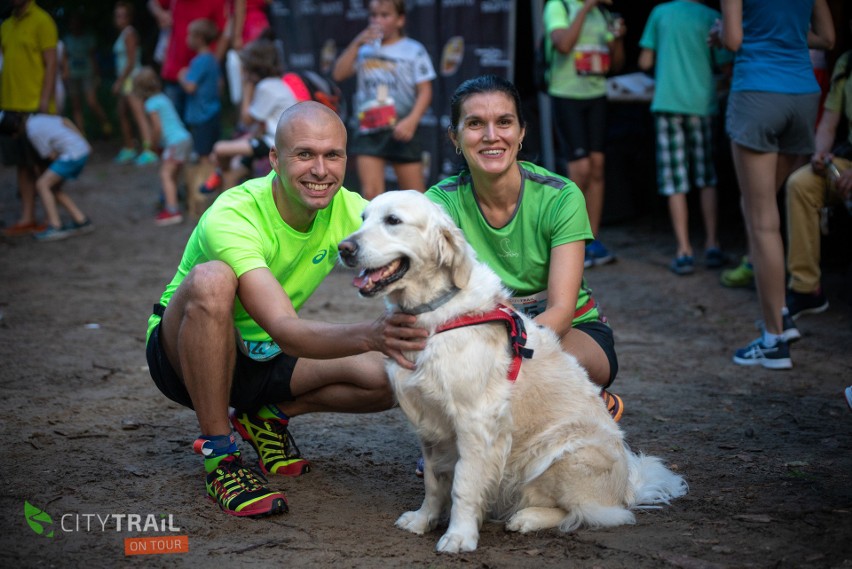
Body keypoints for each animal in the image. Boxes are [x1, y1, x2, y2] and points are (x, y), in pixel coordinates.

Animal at [336, 190, 688, 552]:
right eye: (363, 218)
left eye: (393, 220)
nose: (344, 248)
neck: (434, 313)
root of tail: (627, 487)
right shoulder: (430, 425)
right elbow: (434, 481)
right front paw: (424, 520)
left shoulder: (476, 420)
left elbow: (463, 484)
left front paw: (459, 535)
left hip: (566, 453)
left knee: (593, 513)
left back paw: (527, 518)